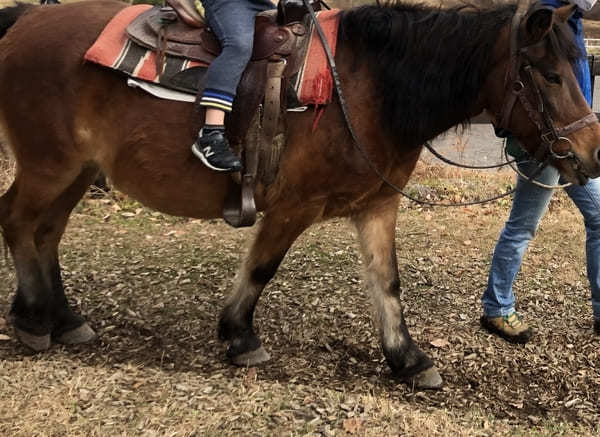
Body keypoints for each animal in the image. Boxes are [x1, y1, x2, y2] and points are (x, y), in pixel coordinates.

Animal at [1, 0, 600, 388]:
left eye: (578, 67)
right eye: (549, 75)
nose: (591, 154)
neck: (367, 87)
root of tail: (24, 18)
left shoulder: (377, 204)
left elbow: (387, 282)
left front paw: (407, 358)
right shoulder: (295, 206)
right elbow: (262, 267)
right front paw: (239, 336)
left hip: (77, 170)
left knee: (47, 231)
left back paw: (64, 318)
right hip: (49, 165)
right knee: (18, 221)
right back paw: (32, 319)